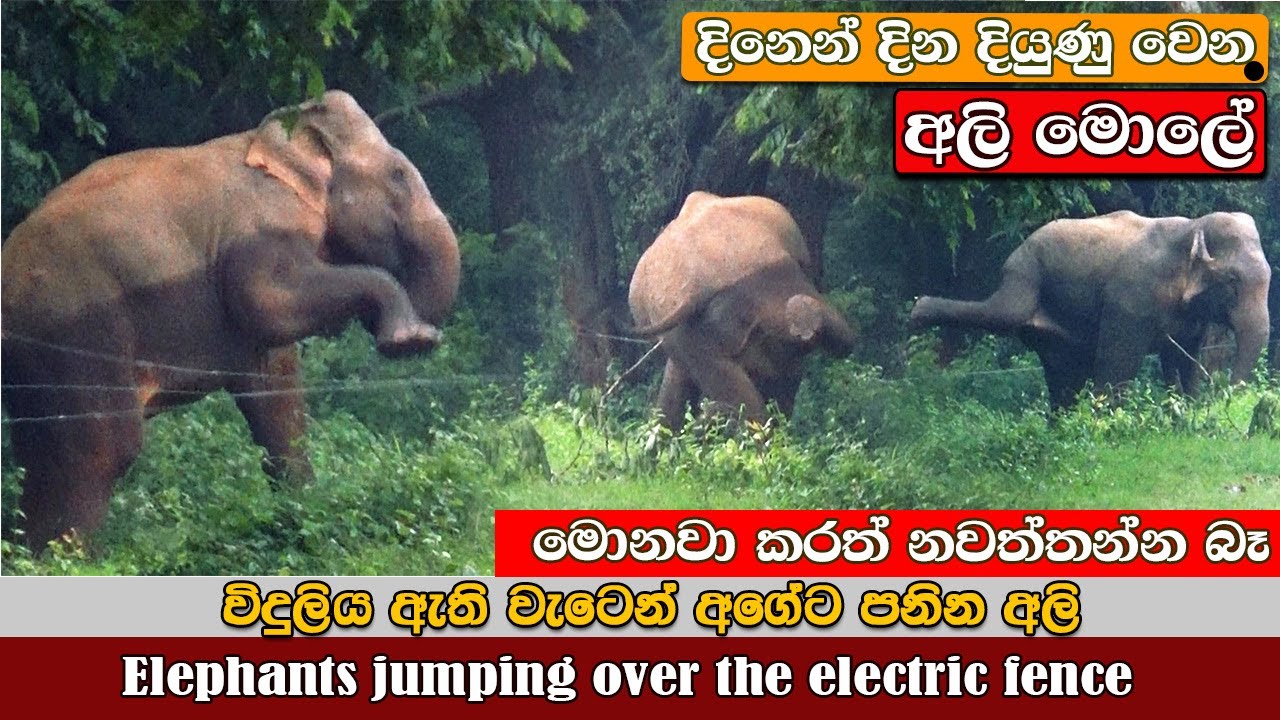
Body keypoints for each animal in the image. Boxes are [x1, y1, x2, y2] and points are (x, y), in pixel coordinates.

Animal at [1, 90, 462, 548]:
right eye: (398, 174)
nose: (417, 340)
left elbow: (276, 394)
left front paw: (302, 508)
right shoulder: (262, 231)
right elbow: (269, 304)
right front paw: (410, 335)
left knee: (40, 448)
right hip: (77, 334)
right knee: (101, 447)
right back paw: (68, 557)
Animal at [909, 210, 1271, 409]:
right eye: (1233, 281)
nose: (1224, 395)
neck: (1192, 226)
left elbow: (1183, 358)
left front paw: (1186, 408)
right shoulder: (1129, 300)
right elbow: (1117, 360)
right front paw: (1110, 426)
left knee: (1063, 374)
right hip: (1025, 275)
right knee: (1006, 314)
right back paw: (919, 311)